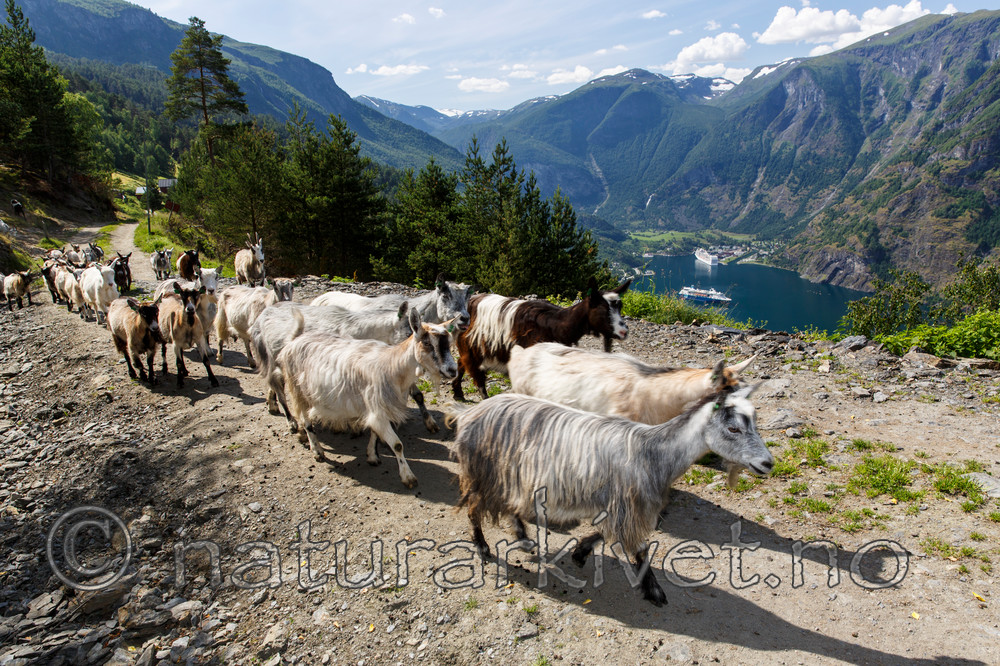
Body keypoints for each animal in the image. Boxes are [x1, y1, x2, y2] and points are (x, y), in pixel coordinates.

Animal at [270, 307, 458, 487]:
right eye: (427, 343)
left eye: (449, 343)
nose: (452, 370)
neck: (392, 366)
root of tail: (295, 340)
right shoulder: (377, 408)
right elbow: (397, 445)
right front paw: (408, 478)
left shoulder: (376, 409)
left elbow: (374, 433)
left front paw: (372, 456)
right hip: (298, 390)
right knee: (306, 420)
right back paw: (317, 450)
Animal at [451, 277, 631, 400]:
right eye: (603, 309)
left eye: (620, 307)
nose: (624, 331)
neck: (557, 324)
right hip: (470, 346)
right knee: (474, 372)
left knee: (461, 363)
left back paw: (458, 393)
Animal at [452, 366, 773, 605]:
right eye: (733, 428)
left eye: (754, 422)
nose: (768, 463)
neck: (653, 453)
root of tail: (468, 413)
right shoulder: (628, 505)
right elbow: (640, 548)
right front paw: (654, 591)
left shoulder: (614, 503)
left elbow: (602, 532)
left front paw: (580, 552)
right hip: (482, 472)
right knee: (473, 506)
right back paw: (482, 547)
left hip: (511, 476)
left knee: (510, 504)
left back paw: (523, 537)